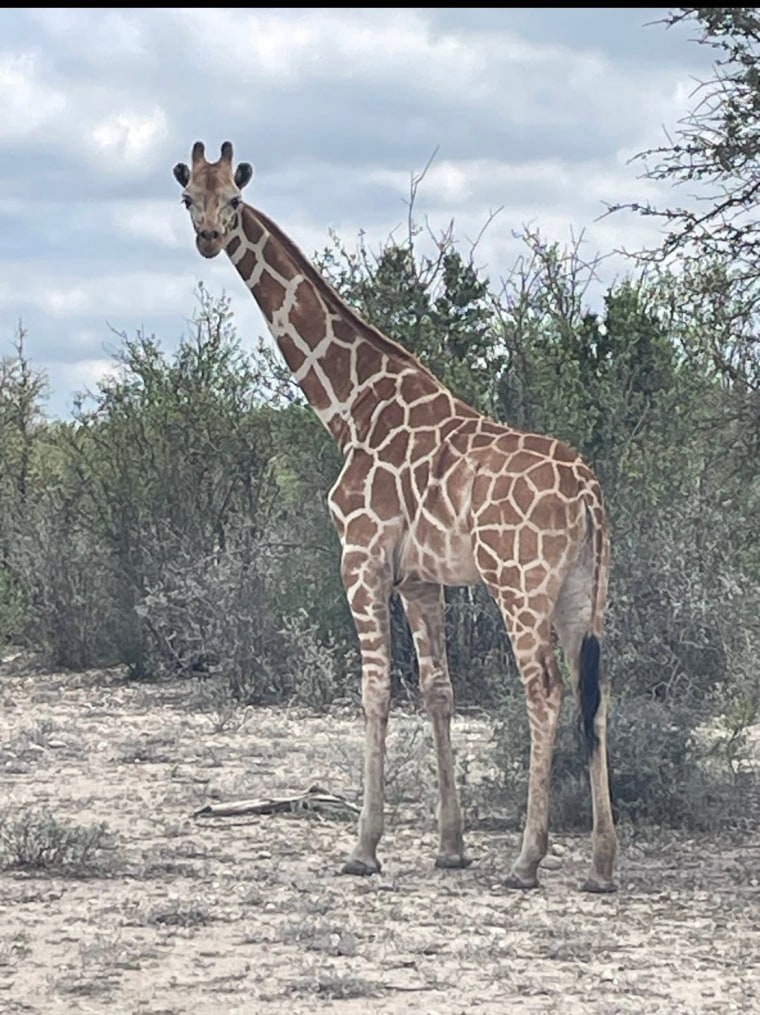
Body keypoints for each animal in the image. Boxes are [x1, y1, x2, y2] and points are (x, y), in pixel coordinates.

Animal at [173, 141, 617, 893]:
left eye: (233, 197)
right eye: (187, 197)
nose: (208, 237)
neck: (350, 407)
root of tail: (588, 492)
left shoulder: (361, 556)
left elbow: (375, 689)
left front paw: (363, 846)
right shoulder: (420, 577)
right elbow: (438, 690)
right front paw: (450, 845)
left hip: (520, 584)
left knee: (546, 691)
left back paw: (527, 859)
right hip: (584, 591)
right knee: (598, 692)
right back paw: (602, 864)